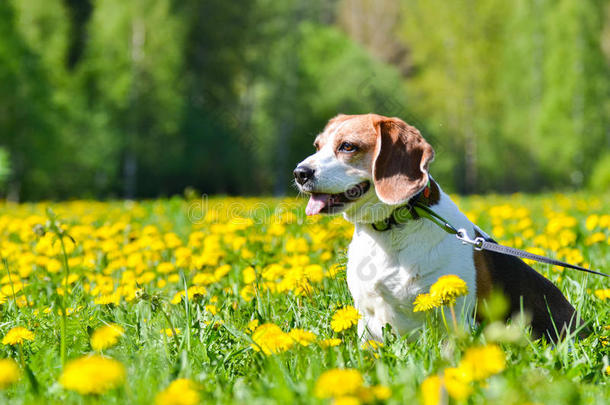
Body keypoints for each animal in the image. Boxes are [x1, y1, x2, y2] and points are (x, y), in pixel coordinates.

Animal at [294, 113, 580, 340]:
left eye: (347, 146)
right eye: (317, 146)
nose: (299, 173)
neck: (390, 232)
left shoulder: (454, 319)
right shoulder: (367, 318)